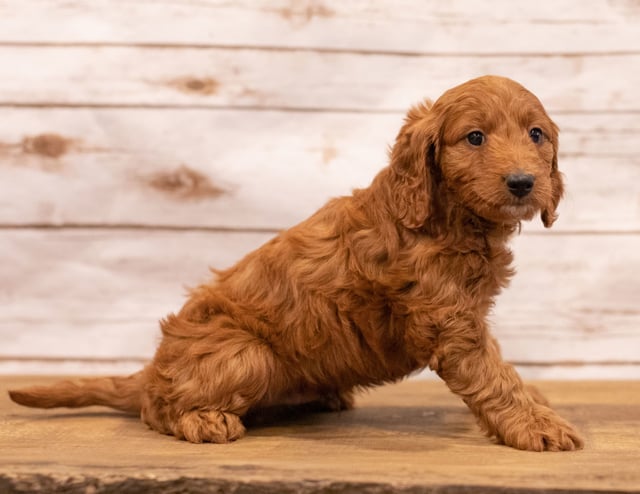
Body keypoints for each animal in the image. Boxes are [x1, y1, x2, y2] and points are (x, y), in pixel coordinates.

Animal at [8, 74, 584, 452]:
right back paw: (204, 421)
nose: (522, 183)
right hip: (248, 354)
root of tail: (150, 370)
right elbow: (493, 376)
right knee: (158, 408)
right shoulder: (448, 320)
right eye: (475, 137)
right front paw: (537, 425)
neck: (447, 215)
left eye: (536, 134)